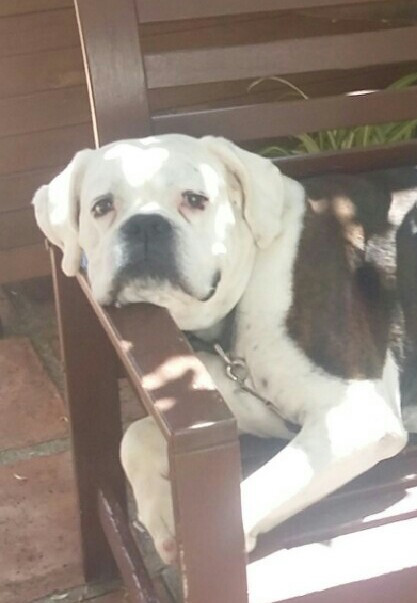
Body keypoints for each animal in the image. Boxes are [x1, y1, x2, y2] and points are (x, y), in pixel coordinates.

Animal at [32, 134, 417, 564]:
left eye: (195, 199)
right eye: (101, 207)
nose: (146, 224)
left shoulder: (357, 415)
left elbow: (248, 496)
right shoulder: (249, 406)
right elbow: (133, 435)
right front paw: (161, 513)